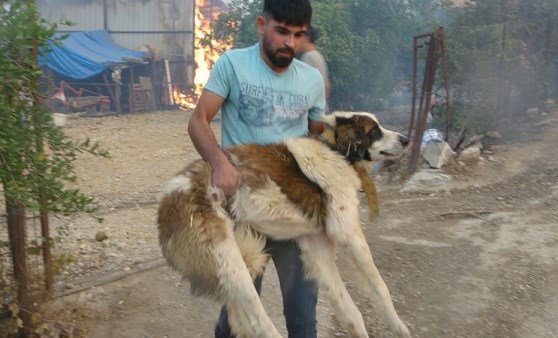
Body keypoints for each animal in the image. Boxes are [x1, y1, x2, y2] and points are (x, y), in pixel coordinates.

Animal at [158, 111, 412, 338]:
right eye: (374, 131)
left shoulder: (318, 248)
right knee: (257, 322)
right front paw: (400, 328)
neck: (336, 151)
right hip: (233, 268)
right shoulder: (349, 234)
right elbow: (381, 288)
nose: (406, 140)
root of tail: (166, 202)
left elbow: (350, 311)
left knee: (238, 320)